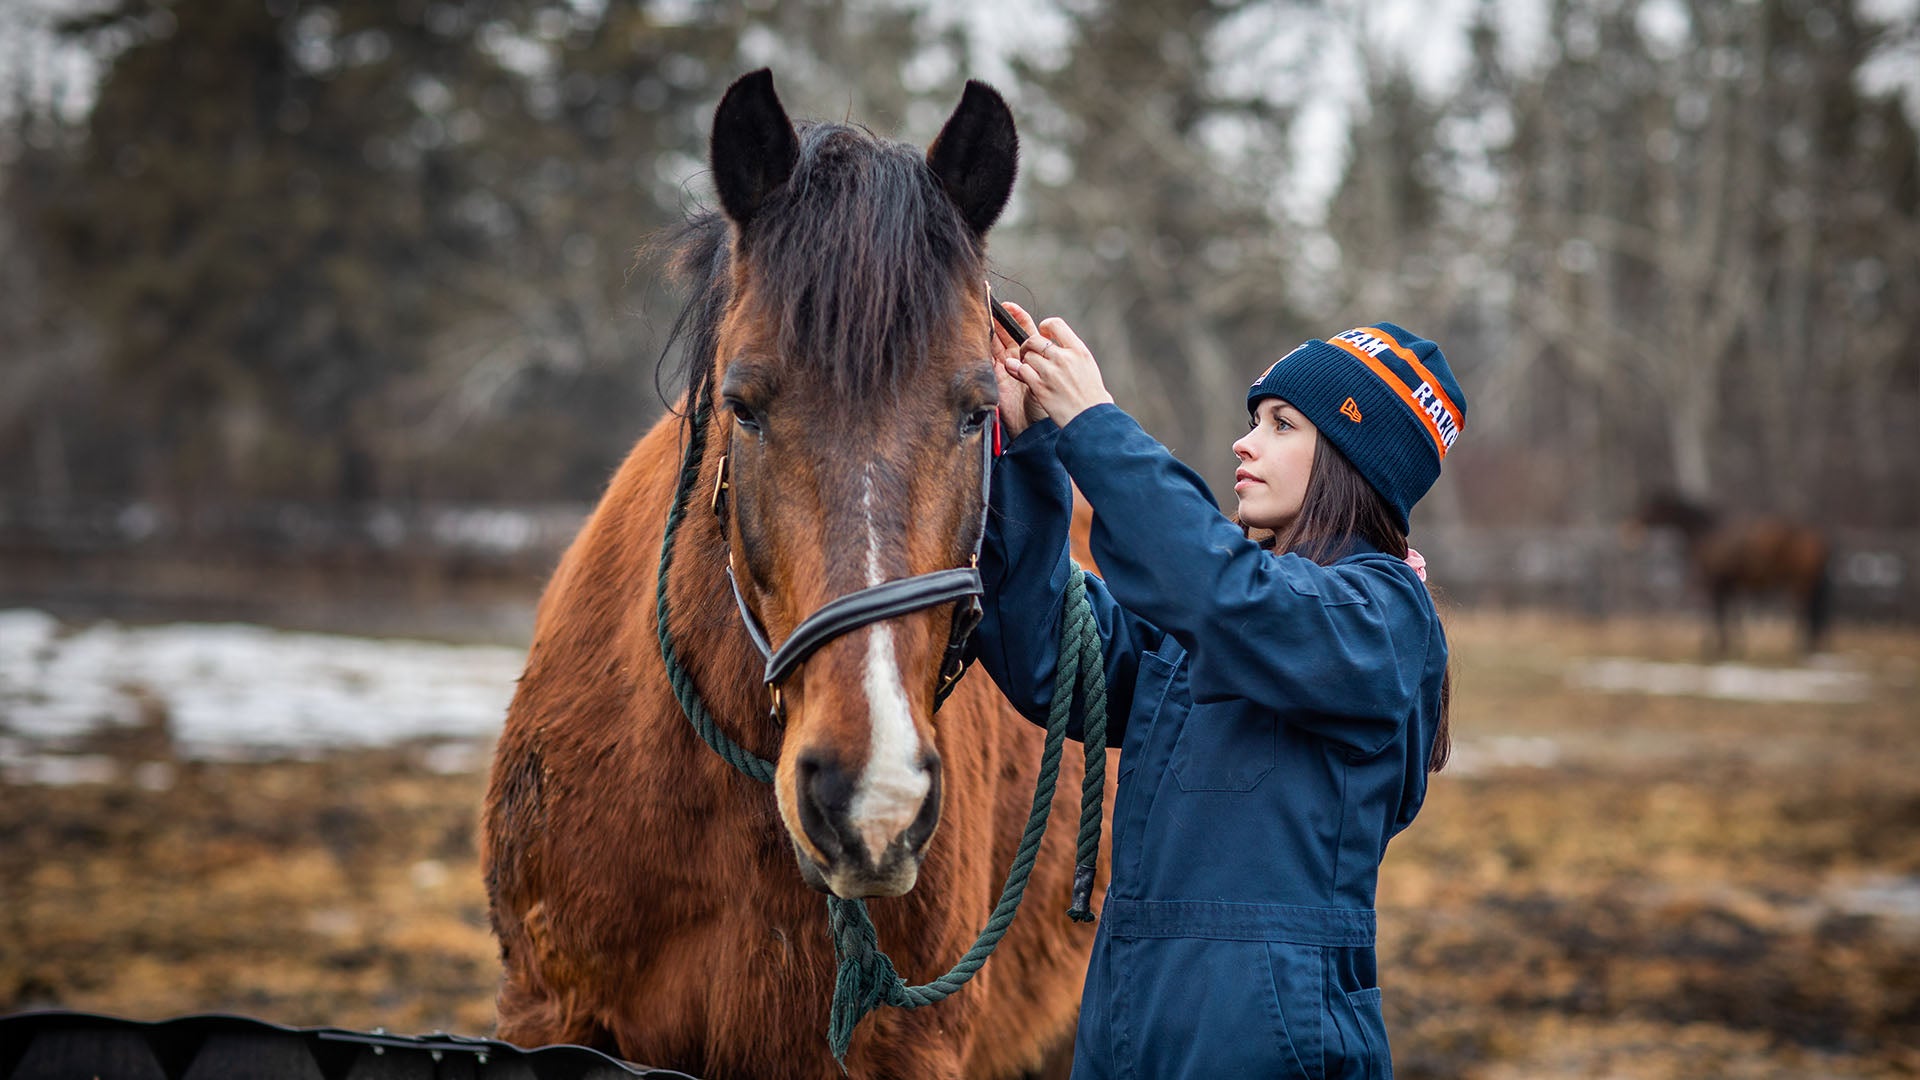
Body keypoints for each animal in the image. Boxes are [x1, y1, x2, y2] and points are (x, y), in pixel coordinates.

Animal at [1630, 491, 1834, 657]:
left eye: (1649, 505)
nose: (1632, 528)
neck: (1704, 532)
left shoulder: (1713, 582)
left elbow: (1716, 613)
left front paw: (1714, 646)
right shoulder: (1729, 584)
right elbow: (1731, 614)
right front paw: (1733, 645)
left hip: (1800, 582)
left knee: (1802, 609)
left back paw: (1798, 644)